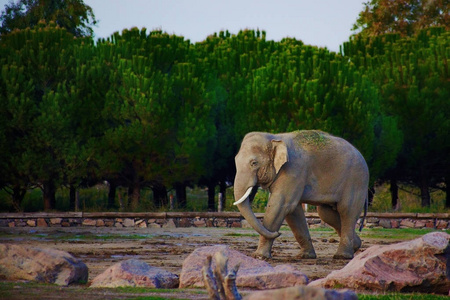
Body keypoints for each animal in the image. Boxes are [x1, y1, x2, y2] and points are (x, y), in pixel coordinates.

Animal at [234, 130, 368, 258]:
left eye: (254, 163)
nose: (278, 233)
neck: (275, 137)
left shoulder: (293, 169)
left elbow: (280, 205)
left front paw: (259, 256)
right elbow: (293, 212)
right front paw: (305, 256)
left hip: (356, 180)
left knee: (347, 210)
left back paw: (342, 256)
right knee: (326, 213)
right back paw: (356, 245)